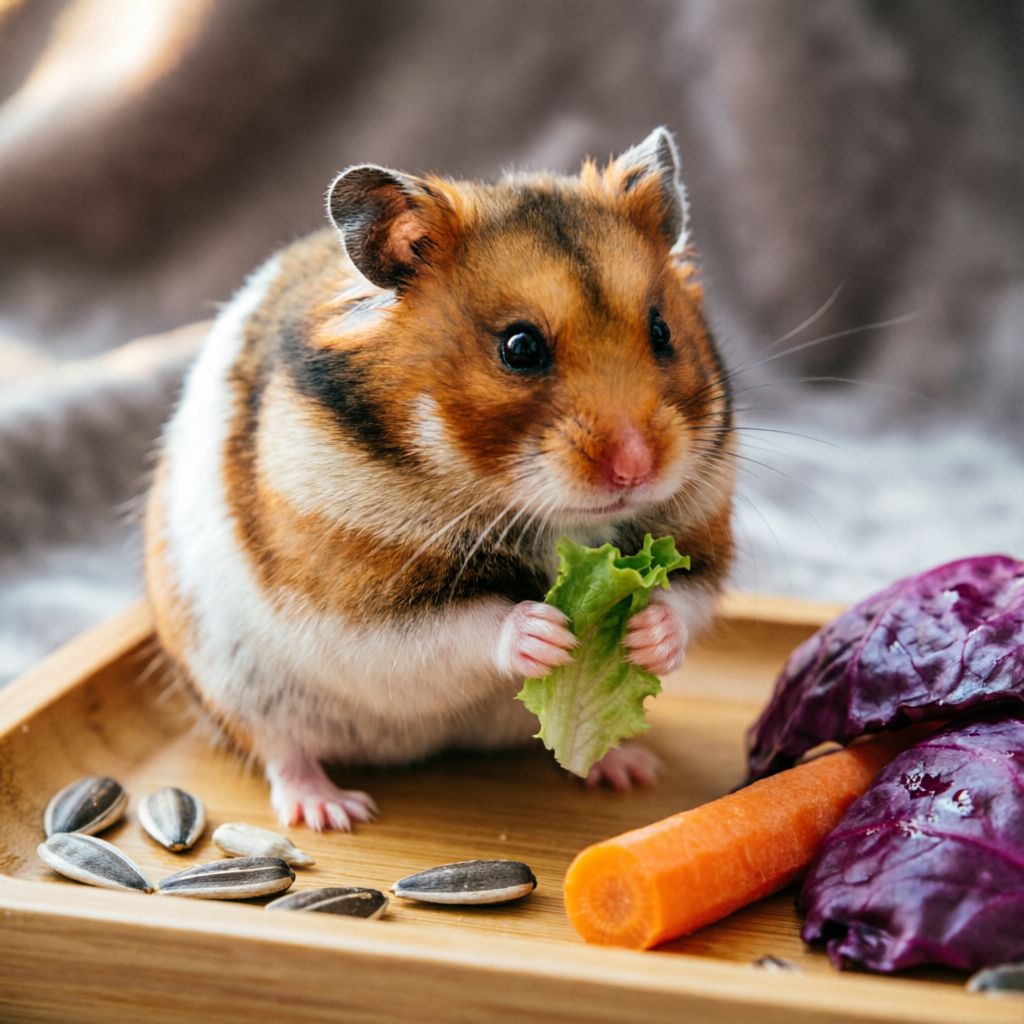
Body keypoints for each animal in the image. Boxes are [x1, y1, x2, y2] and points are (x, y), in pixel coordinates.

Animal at [144, 127, 736, 831]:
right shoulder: (361, 600)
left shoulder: (701, 540)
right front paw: (547, 632)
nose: (636, 468)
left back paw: (627, 770)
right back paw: (333, 811)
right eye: (519, 348)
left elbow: (685, 601)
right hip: (235, 682)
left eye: (662, 330)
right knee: (280, 749)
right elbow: (458, 631)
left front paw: (645, 631)